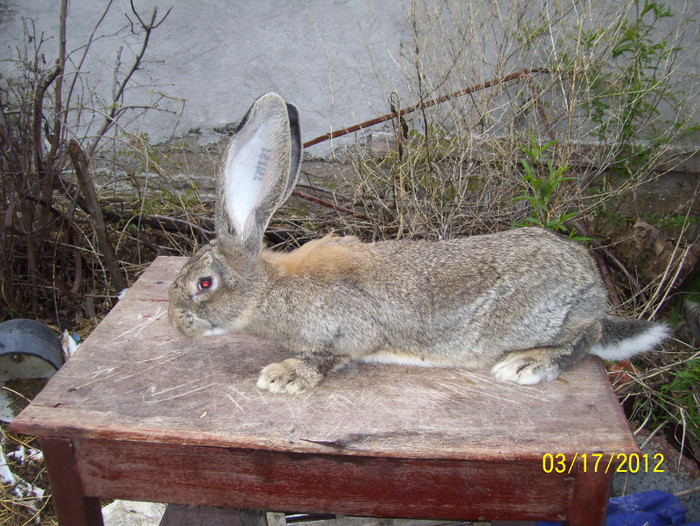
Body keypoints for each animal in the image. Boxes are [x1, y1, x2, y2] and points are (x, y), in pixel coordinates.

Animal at [167, 93, 668, 394]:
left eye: (204, 284)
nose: (176, 322)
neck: (269, 288)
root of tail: (594, 287)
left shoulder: (349, 332)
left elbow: (329, 357)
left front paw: (283, 376)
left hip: (550, 320)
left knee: (586, 337)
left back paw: (526, 365)